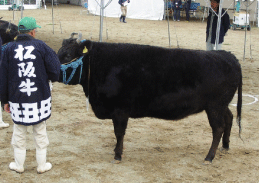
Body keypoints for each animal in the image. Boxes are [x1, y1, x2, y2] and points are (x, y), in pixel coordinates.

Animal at [58, 33, 243, 164]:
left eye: (66, 56)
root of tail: (226, 55)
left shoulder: (120, 110)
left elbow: (119, 132)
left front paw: (117, 155)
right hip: (221, 105)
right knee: (229, 118)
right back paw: (225, 146)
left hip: (214, 106)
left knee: (218, 128)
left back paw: (209, 157)